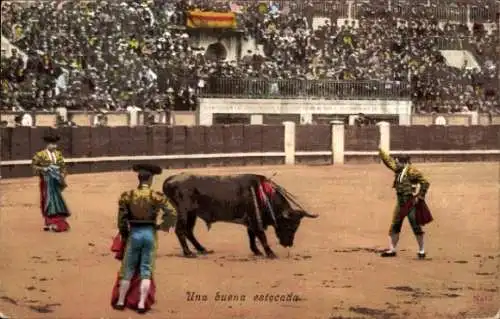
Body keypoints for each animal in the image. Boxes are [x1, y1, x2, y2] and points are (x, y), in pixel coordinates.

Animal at [164, 174, 320, 258]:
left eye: (296, 227)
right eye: (288, 225)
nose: (288, 244)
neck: (265, 196)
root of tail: (170, 179)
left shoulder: (251, 220)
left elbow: (251, 236)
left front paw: (257, 251)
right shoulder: (255, 219)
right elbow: (261, 235)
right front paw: (270, 253)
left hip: (192, 213)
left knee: (189, 231)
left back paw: (202, 249)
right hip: (184, 211)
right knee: (180, 230)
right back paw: (188, 253)